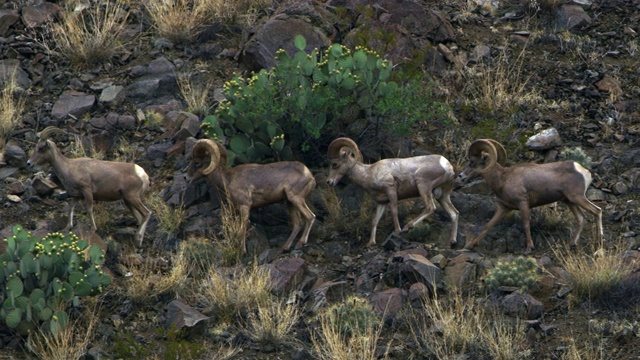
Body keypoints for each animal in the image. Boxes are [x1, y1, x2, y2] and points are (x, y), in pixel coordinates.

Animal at [188, 139, 318, 250]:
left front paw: (242, 251)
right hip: (289, 203)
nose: (186, 177)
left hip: (296, 199)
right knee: (297, 224)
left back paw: (300, 243)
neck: (227, 179)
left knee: (310, 217)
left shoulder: (245, 206)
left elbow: (243, 229)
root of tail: (310, 176)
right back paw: (284, 247)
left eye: (197, 162)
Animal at [328, 136, 458, 246]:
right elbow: (375, 220)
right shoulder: (382, 202)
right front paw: (371, 243)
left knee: (431, 207)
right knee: (454, 214)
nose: (329, 182)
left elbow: (394, 211)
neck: (368, 174)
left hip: (423, 185)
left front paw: (397, 231)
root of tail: (447, 166)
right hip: (442, 196)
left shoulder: (391, 190)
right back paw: (452, 241)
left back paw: (408, 226)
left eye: (334, 164)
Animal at [458, 138, 604, 253]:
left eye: (472, 162)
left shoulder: (523, 203)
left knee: (597, 211)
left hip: (577, 198)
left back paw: (599, 246)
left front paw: (529, 248)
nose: (460, 176)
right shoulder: (504, 208)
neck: (502, 179)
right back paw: (572, 244)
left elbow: (526, 224)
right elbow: (488, 225)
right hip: (570, 201)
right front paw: (471, 245)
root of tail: (583, 171)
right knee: (581, 218)